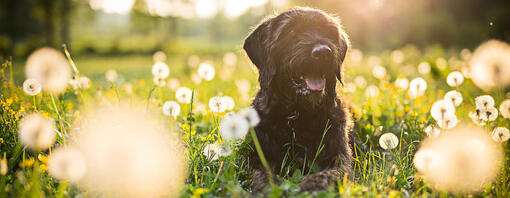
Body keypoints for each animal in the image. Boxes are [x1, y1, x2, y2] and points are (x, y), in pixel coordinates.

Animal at [244, 6, 354, 193]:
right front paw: (269, 188)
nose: (323, 52)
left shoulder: (340, 157)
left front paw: (312, 186)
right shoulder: (253, 155)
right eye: (291, 31)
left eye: (329, 32)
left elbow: (330, 173)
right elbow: (260, 173)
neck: (298, 116)